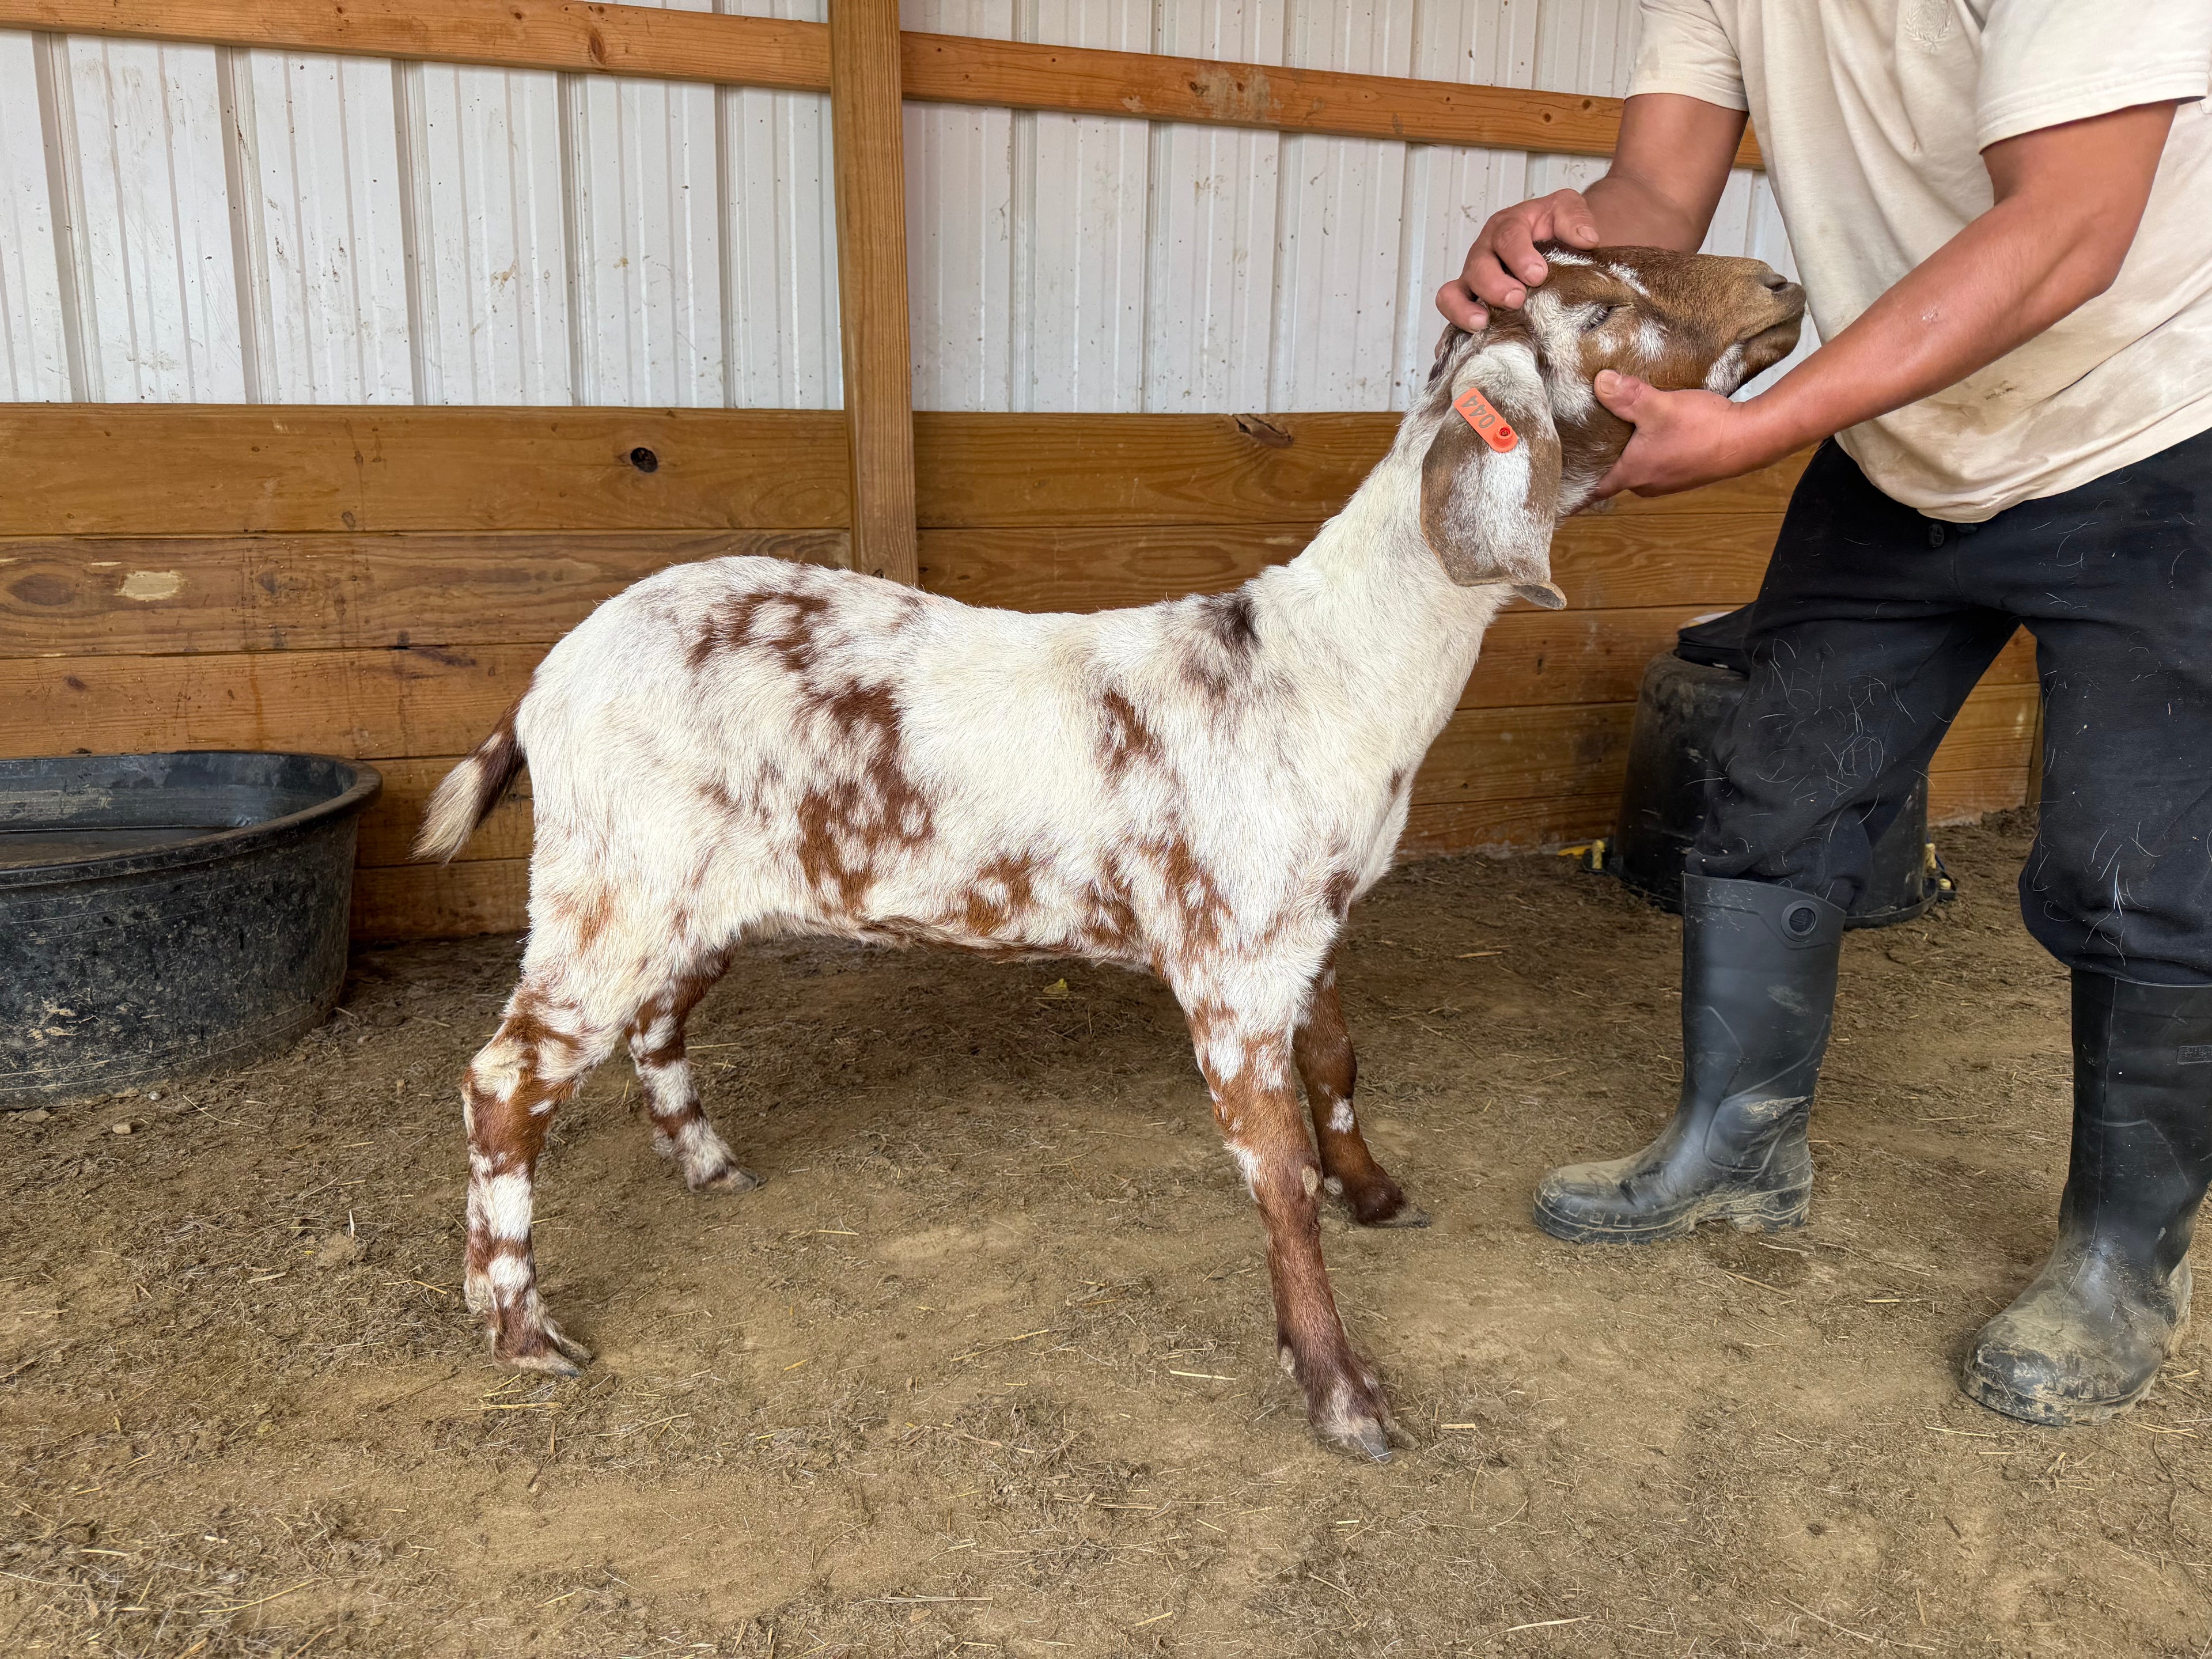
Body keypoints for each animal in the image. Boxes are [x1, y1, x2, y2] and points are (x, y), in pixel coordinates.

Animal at [417, 245, 1803, 1460]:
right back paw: (522, 1331)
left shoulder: (1310, 924)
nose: (1781, 283)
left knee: (653, 1026)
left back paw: (705, 1168)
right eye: (1603, 306)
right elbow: (1274, 1174)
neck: (1320, 669)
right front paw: (1341, 1391)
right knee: (505, 1079)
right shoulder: (1233, 959)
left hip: (702, 899)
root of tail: (543, 680)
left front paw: (1376, 1192)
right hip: (611, 886)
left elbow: (1341, 1059)